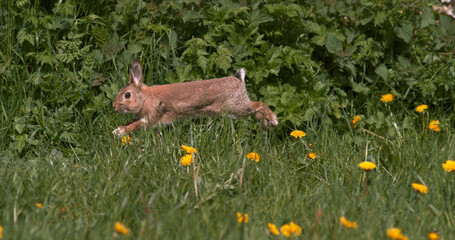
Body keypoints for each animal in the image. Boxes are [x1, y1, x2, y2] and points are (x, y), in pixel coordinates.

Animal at [112, 59, 280, 135]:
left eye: (127, 95)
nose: (114, 107)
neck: (144, 98)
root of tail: (239, 80)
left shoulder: (151, 117)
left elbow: (137, 124)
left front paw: (120, 132)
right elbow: (131, 121)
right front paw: (118, 129)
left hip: (235, 107)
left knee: (259, 104)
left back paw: (272, 121)